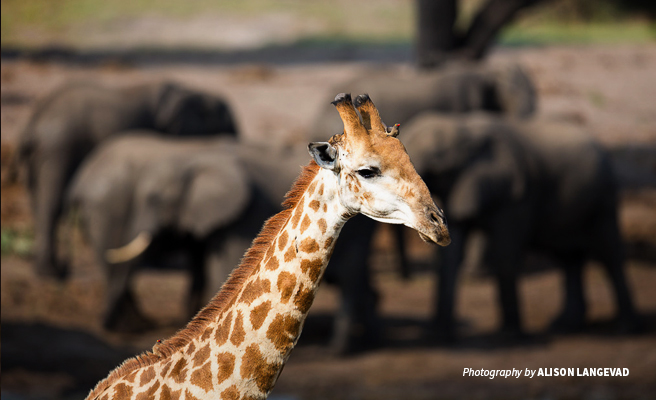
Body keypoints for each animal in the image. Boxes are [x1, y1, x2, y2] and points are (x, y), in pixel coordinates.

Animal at [11, 80, 237, 282]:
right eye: (227, 130)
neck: (191, 91)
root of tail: (33, 124)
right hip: (58, 149)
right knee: (52, 204)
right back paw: (51, 273)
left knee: (38, 201)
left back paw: (50, 271)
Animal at [400, 112, 640, 340]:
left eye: (436, 161)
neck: (465, 127)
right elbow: (450, 257)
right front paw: (439, 336)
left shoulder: (517, 197)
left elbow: (506, 254)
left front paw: (509, 336)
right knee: (569, 259)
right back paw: (564, 326)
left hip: (604, 199)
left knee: (609, 256)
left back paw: (625, 329)